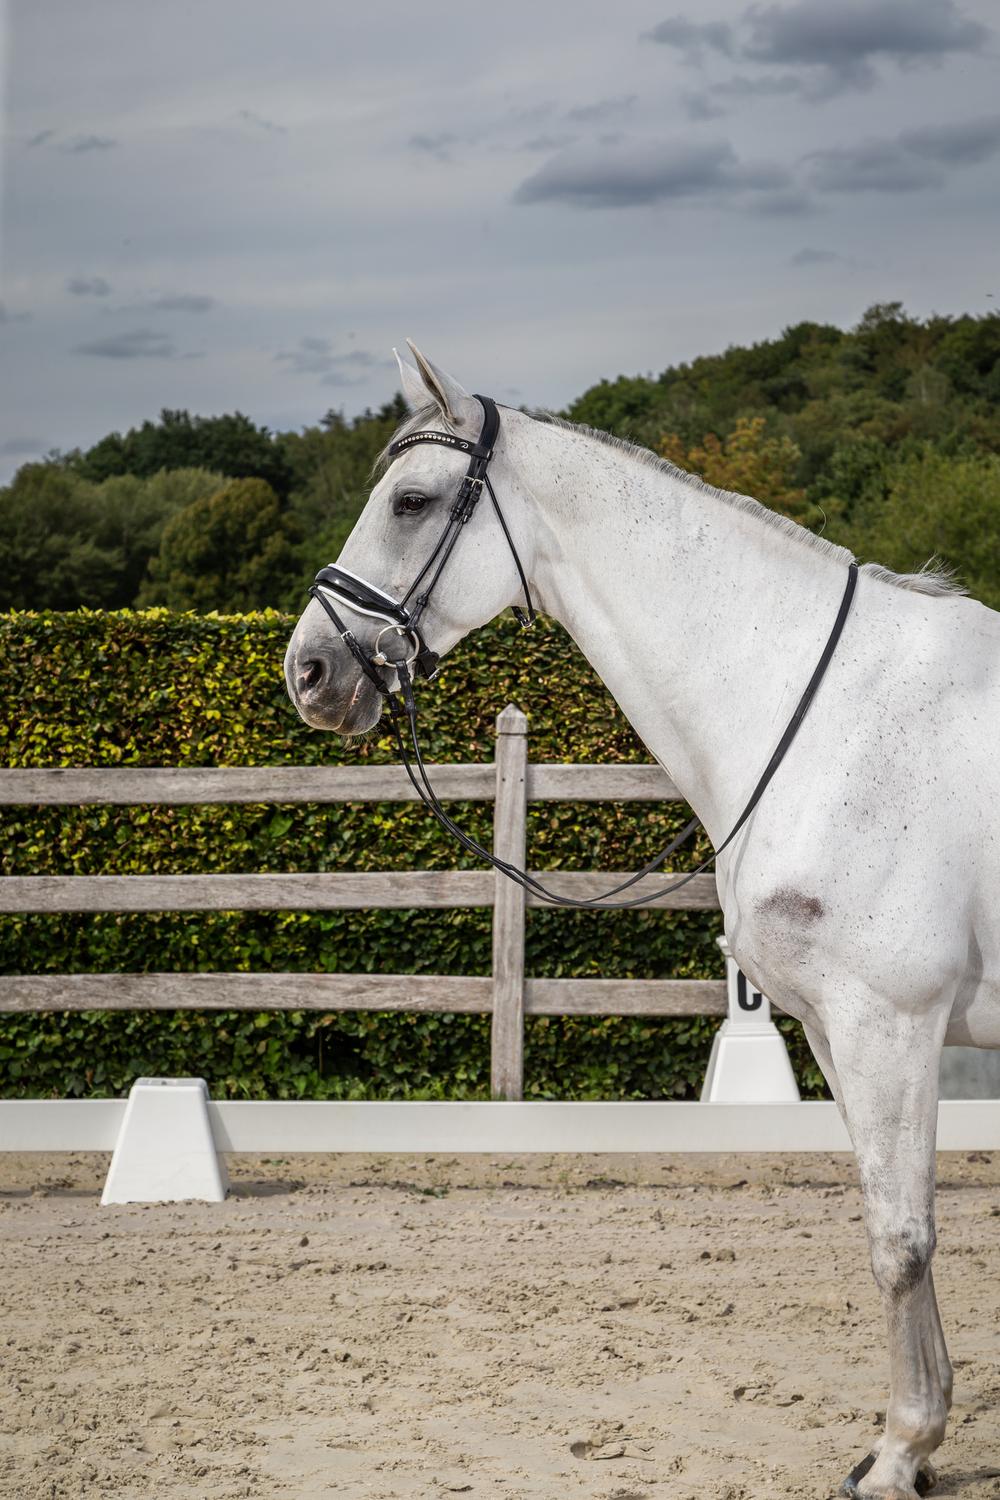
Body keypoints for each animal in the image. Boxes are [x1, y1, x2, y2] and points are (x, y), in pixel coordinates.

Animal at [283, 343, 1000, 1500]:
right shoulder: (842, 1034)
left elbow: (901, 1237)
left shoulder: (889, 1024)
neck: (823, 711)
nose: (310, 671)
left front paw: (898, 1454)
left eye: (411, 500)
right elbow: (887, 1224)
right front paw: (914, 1435)